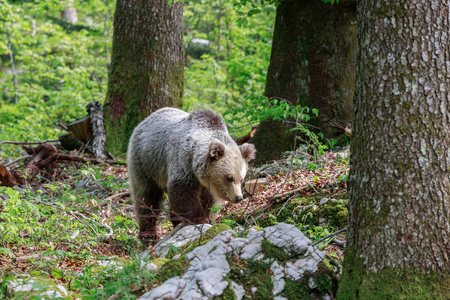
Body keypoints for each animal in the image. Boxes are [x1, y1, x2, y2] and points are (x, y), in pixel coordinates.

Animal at [127, 107, 256, 239]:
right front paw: (199, 218)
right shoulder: (183, 163)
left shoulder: (207, 184)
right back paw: (148, 233)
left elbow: (208, 200)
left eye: (241, 179)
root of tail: (144, 121)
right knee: (146, 196)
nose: (238, 197)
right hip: (146, 163)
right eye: (229, 178)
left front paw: (208, 218)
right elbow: (183, 191)